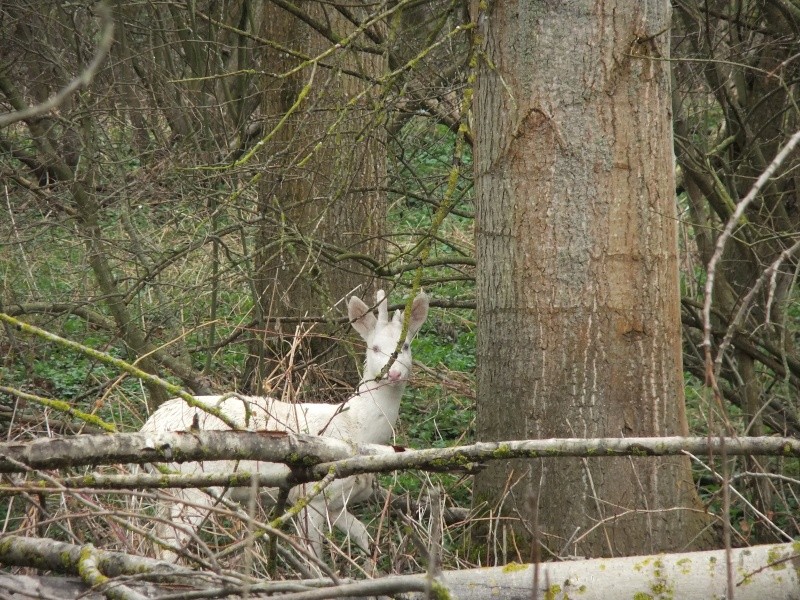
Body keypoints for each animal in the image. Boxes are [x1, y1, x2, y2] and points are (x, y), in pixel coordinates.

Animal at [139, 290, 424, 564]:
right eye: (375, 348)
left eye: (406, 346)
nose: (394, 374)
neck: (357, 427)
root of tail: (149, 425)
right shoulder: (311, 494)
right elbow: (313, 556)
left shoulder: (338, 502)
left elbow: (364, 537)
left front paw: (368, 569)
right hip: (193, 489)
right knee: (168, 546)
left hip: (168, 491)